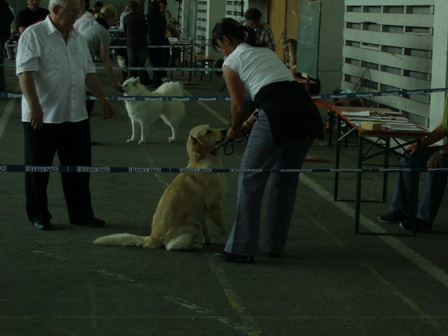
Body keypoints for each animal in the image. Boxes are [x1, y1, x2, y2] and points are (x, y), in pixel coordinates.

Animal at [93, 124, 229, 251]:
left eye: (211, 127)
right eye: (207, 132)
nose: (225, 130)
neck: (201, 160)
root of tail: (153, 238)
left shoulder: (203, 211)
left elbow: (206, 229)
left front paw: (209, 240)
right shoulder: (214, 206)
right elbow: (224, 227)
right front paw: (228, 241)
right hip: (193, 223)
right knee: (171, 246)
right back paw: (195, 246)